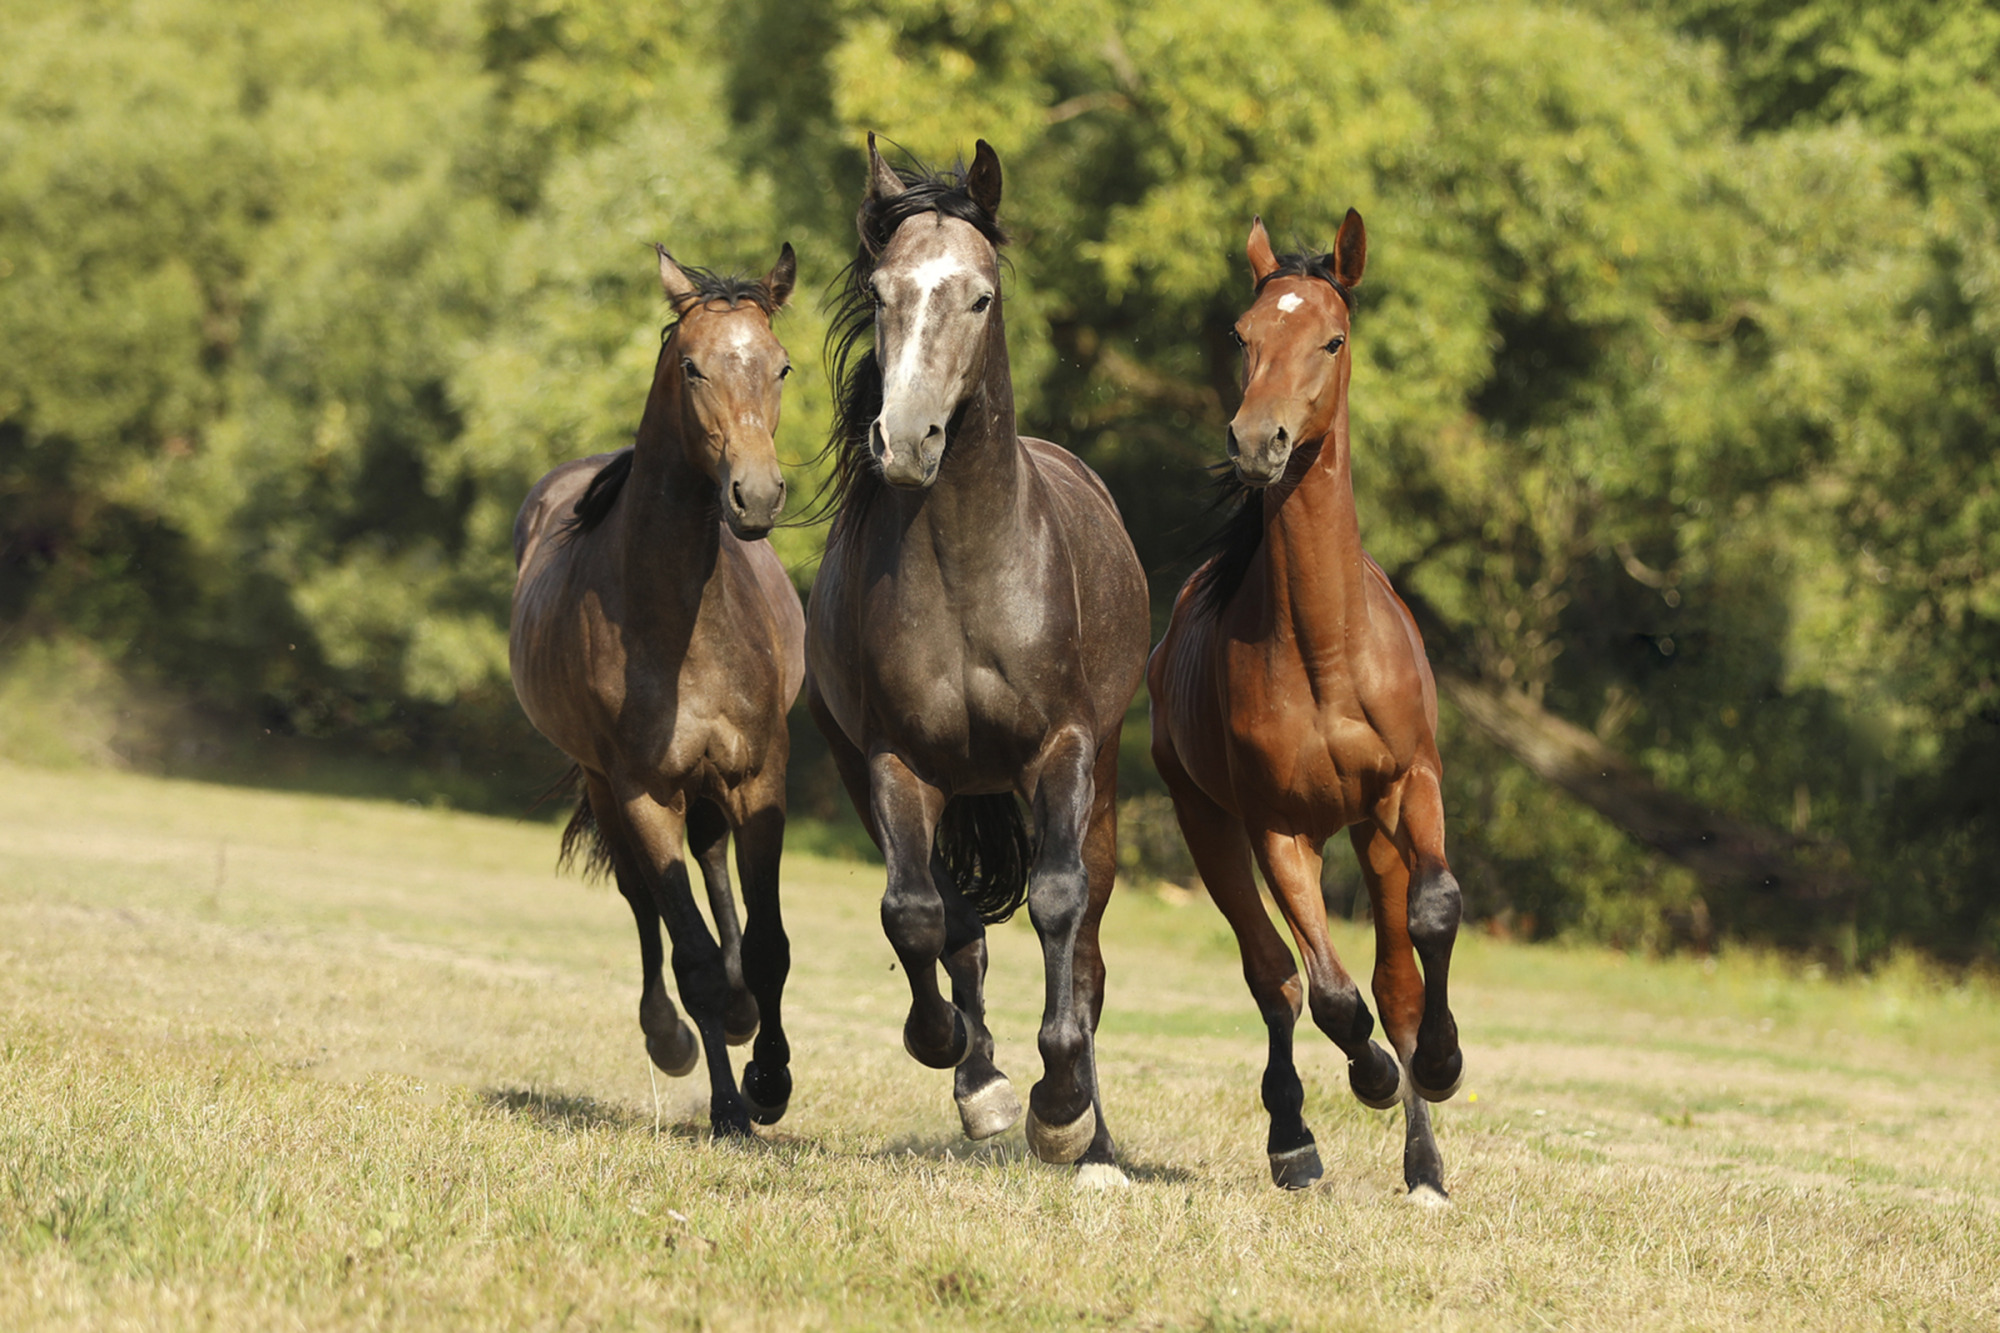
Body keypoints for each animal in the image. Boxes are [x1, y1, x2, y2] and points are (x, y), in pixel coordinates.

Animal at [509, 242, 806, 1137]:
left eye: (781, 365)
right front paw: (734, 1103)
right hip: (613, 787)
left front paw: (770, 1076)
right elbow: (692, 955)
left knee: (713, 869)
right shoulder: (643, 791)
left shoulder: (759, 775)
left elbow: (768, 943)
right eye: (693, 367)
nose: (755, 495)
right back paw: (674, 1037)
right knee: (647, 904)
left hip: (709, 786)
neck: (681, 623)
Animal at [804, 136, 1150, 1186]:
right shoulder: (895, 762)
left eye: (980, 296)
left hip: (1102, 785)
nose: (906, 441)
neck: (969, 567)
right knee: (956, 926)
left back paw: (1094, 1144)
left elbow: (1058, 907)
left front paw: (1062, 1111)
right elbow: (918, 915)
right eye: (881, 292)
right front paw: (975, 1075)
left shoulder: (1062, 751)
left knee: (1088, 950)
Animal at [1147, 213, 1465, 1201]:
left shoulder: (1409, 786)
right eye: (1244, 335)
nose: (1258, 441)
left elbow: (1433, 918)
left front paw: (1439, 1064)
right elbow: (1324, 991)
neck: (1326, 650)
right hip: (1208, 824)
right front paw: (1370, 1076)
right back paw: (1294, 1140)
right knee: (1274, 978)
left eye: (1332, 338)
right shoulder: (1275, 826)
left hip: (1367, 830)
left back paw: (1424, 1161)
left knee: (1392, 977)